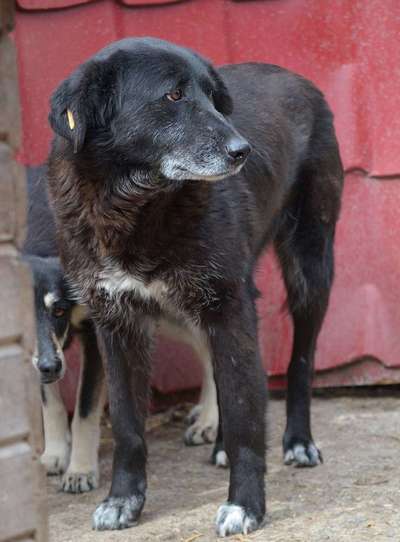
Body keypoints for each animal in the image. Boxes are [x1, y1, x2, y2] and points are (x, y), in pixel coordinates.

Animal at [22, 168, 105, 496]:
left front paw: (80, 470)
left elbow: (84, 410)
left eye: (58, 311)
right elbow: (51, 403)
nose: (51, 367)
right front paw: (55, 453)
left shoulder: (96, 336)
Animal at [45, 37, 342, 536]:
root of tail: (297, 78)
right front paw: (123, 501)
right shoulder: (117, 323)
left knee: (301, 359)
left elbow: (243, 413)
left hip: (310, 267)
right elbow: (126, 423)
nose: (243, 151)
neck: (134, 205)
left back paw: (298, 440)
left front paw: (245, 505)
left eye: (212, 98)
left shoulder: (229, 305)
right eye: (173, 95)